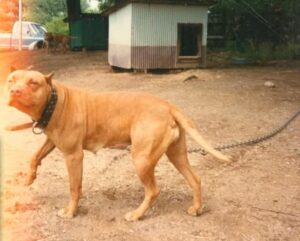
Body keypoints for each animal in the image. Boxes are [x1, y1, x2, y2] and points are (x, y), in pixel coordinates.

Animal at [4, 68, 230, 221]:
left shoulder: (73, 155)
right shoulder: (51, 140)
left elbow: (74, 187)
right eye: (11, 80)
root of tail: (167, 105)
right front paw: (30, 177)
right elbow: (35, 156)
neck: (55, 100)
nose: (14, 91)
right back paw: (197, 208)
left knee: (153, 190)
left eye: (33, 83)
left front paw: (70, 211)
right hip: (176, 155)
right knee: (195, 179)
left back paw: (137, 214)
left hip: (141, 159)